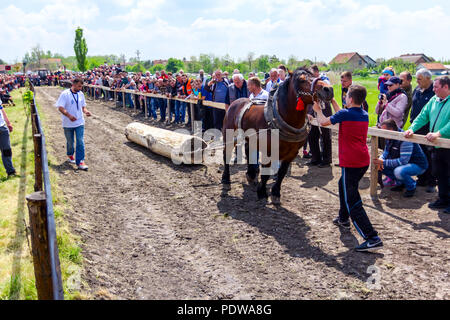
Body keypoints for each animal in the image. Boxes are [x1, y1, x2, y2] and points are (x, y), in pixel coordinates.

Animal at [221, 67, 334, 205]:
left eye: (315, 75)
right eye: (302, 79)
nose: (328, 89)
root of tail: (235, 103)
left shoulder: (292, 153)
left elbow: (281, 173)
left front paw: (275, 193)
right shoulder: (269, 151)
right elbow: (266, 173)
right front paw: (262, 193)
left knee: (248, 151)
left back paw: (251, 175)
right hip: (229, 136)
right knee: (226, 155)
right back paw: (226, 180)